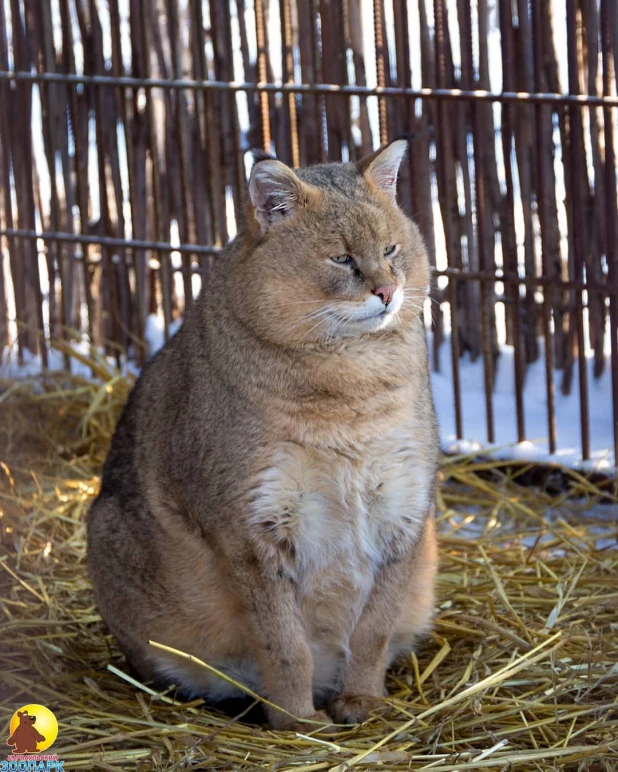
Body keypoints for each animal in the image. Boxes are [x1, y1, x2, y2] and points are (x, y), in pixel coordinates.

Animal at [89, 139, 440, 728]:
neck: (352, 384)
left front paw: (362, 699)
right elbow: (284, 642)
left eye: (392, 248)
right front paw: (298, 721)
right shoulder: (253, 527)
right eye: (341, 258)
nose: (388, 291)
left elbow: (373, 627)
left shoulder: (404, 511)